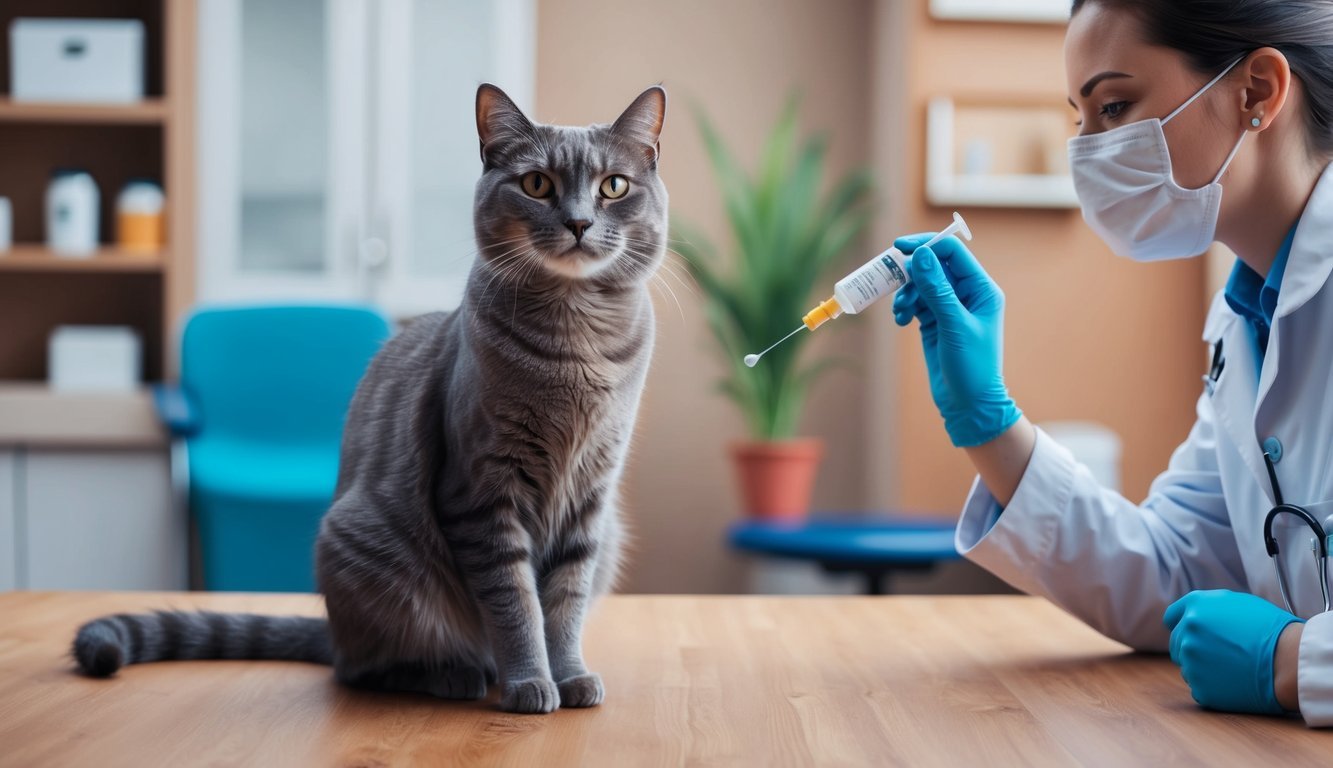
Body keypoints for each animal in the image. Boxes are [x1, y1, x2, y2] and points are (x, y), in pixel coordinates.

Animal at [70, 82, 666, 714]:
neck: (576, 347)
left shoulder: (592, 496)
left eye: (613, 186)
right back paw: (457, 674)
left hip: (608, 535)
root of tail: (334, 631)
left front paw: (569, 675)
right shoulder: (483, 493)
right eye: (536, 184)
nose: (578, 222)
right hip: (369, 551)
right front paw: (530, 682)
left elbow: (565, 604)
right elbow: (516, 604)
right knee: (361, 668)